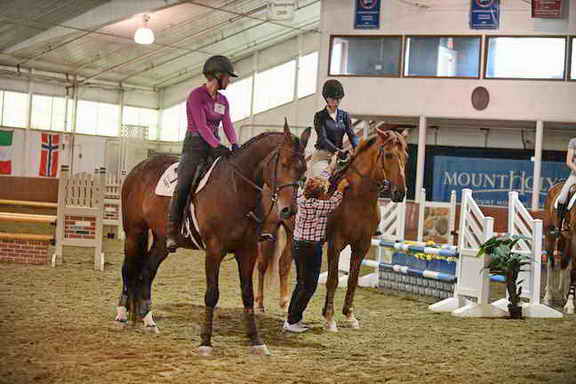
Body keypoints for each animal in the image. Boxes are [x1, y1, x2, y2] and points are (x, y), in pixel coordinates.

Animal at [116, 122, 310, 354]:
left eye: (303, 171)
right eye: (284, 163)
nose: (290, 210)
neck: (234, 189)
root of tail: (139, 168)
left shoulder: (248, 251)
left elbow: (247, 294)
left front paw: (256, 341)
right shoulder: (214, 250)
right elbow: (212, 294)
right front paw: (205, 342)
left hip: (162, 241)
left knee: (146, 272)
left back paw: (148, 320)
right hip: (134, 232)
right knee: (128, 269)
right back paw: (121, 315)